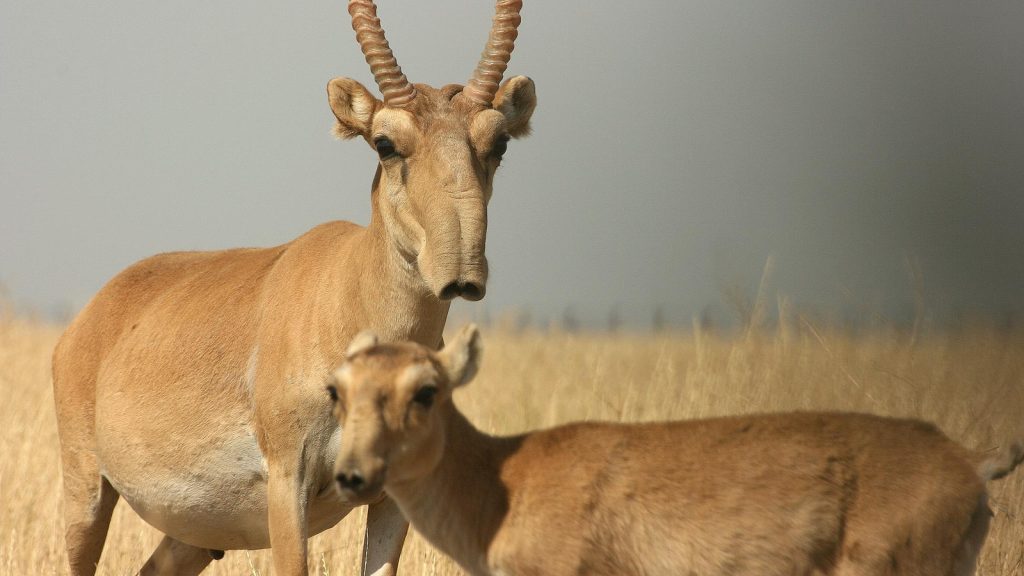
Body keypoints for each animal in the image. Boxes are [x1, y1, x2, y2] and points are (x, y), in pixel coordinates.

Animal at [49, 2, 536, 569]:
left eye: (498, 142)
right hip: (86, 494)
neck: (347, 291)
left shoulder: (392, 497)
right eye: (385, 143)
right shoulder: (288, 484)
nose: (460, 271)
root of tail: (91, 316)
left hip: (193, 537)